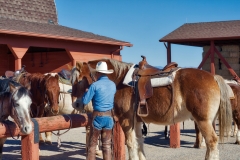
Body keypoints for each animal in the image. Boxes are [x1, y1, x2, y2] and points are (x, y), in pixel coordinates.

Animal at [71, 57, 232, 160]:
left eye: (78, 80)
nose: (76, 104)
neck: (119, 80)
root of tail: (213, 77)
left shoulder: (126, 120)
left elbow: (131, 144)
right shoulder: (136, 121)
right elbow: (139, 143)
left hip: (203, 121)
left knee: (212, 143)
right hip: (208, 121)